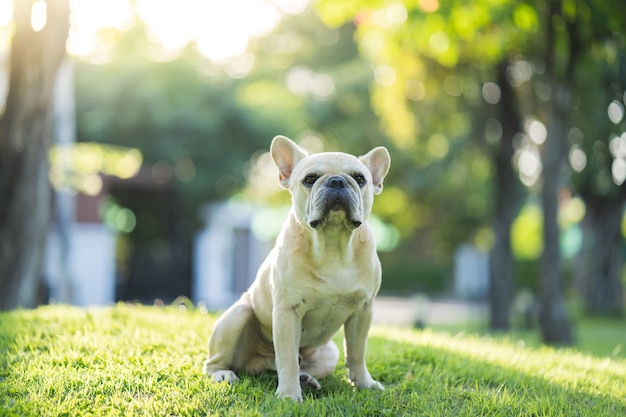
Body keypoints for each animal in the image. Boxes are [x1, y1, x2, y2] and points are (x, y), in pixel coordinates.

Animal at [205, 134, 390, 400]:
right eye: (309, 179)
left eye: (360, 178)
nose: (336, 181)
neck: (332, 244)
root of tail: (255, 363)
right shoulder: (287, 312)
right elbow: (288, 358)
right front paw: (289, 395)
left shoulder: (363, 311)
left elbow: (357, 352)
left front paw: (364, 383)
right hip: (237, 316)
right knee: (217, 361)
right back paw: (223, 374)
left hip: (329, 353)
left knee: (282, 364)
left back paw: (306, 378)